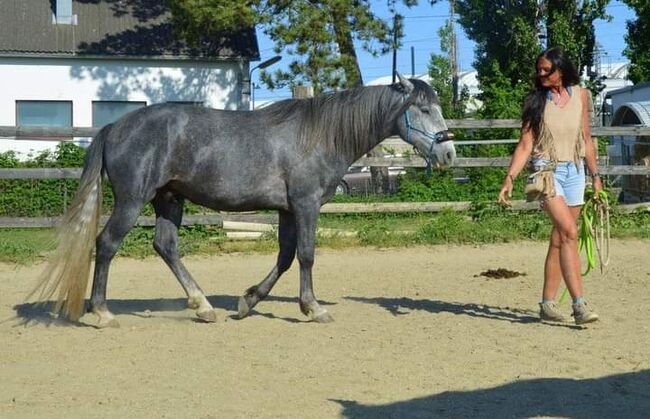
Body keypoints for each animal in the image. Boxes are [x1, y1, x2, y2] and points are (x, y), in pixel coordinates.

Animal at [30, 74, 454, 326]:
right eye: (424, 109)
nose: (448, 154)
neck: (320, 135)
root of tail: (114, 127)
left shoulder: (287, 210)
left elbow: (285, 257)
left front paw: (248, 301)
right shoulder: (306, 204)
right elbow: (306, 255)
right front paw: (313, 308)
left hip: (169, 200)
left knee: (165, 246)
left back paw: (203, 306)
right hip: (133, 200)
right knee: (106, 244)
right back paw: (102, 312)